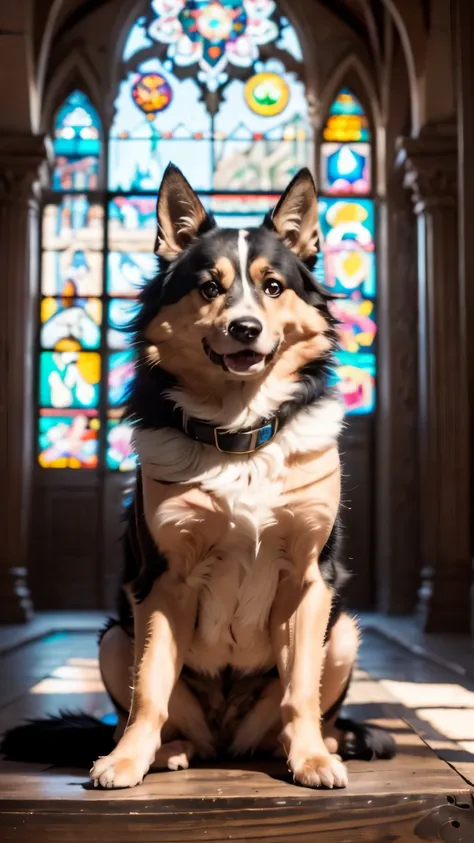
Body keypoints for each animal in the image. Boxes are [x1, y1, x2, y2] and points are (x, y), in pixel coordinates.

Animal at [1, 166, 394, 792]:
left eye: (273, 287)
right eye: (210, 287)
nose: (246, 327)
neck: (239, 433)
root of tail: (229, 740)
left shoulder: (309, 580)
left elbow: (300, 691)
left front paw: (311, 758)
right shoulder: (163, 581)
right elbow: (149, 690)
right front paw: (127, 760)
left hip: (344, 634)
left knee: (287, 720)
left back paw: (315, 745)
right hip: (114, 638)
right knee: (152, 712)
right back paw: (167, 752)